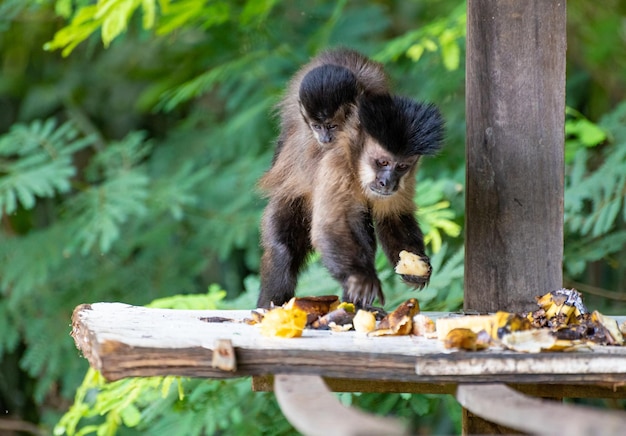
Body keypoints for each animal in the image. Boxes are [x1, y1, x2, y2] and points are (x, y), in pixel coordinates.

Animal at [256, 92, 442, 308]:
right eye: (383, 162)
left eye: (402, 166)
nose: (387, 182)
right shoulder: (337, 165)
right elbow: (330, 226)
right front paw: (361, 279)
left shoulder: (407, 178)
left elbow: (393, 217)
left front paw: (416, 267)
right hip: (289, 199)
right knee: (283, 251)